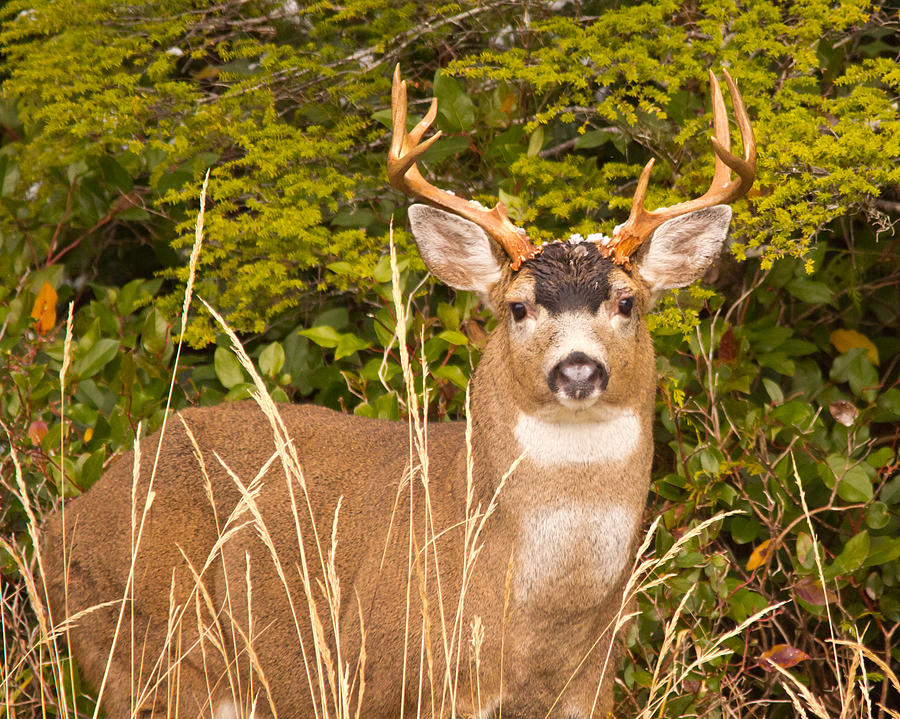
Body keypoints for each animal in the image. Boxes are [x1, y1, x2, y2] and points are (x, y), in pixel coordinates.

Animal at [45, 67, 756, 719]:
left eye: (628, 302)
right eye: (518, 307)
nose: (578, 370)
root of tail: (66, 519)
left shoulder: (589, 689)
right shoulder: (393, 677)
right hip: (151, 654)